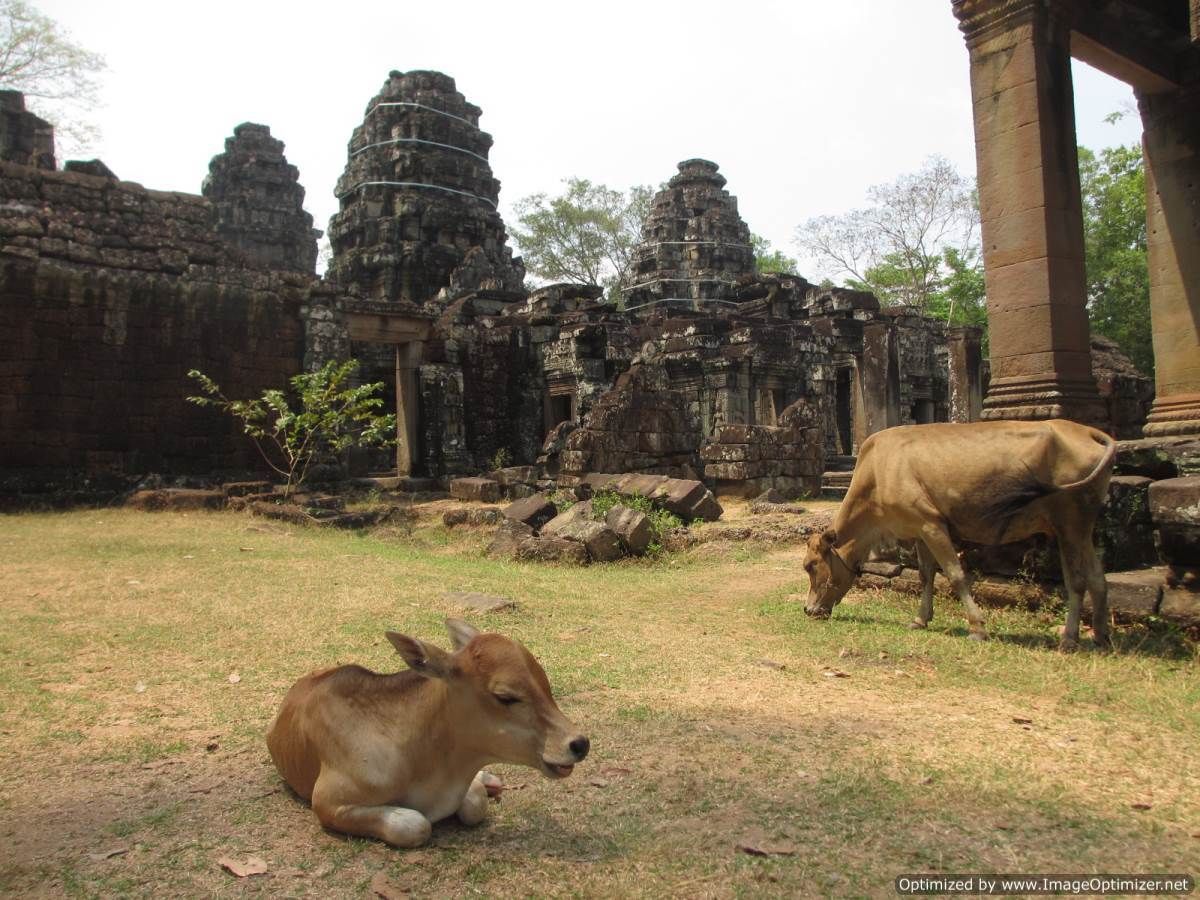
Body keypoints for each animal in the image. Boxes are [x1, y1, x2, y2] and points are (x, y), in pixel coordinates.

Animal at [270, 624, 592, 849]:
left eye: (544, 682)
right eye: (505, 696)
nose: (579, 743)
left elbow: (475, 803)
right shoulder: (327, 802)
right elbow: (416, 824)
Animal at [801, 420, 1118, 652]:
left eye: (811, 566)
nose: (809, 609)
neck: (877, 474)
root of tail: (1088, 432)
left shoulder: (932, 524)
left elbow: (955, 575)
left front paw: (977, 628)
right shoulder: (919, 530)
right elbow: (925, 575)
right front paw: (920, 619)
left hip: (1069, 523)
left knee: (1077, 581)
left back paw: (1069, 638)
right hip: (1082, 528)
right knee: (1097, 578)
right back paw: (1101, 638)